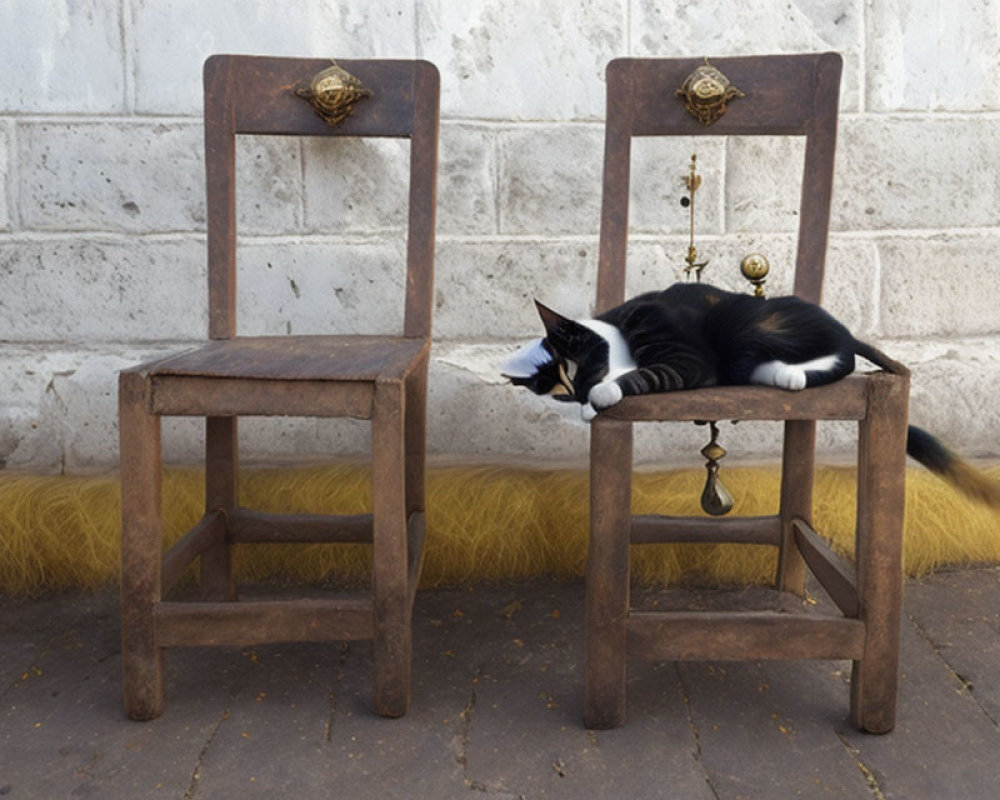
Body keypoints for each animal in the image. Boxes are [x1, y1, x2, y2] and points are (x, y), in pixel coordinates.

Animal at [504, 282, 1000, 506]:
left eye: (576, 371)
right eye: (559, 395)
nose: (580, 398)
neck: (619, 330)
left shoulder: (686, 360)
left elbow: (643, 376)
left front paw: (604, 396)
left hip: (752, 325)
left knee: (842, 357)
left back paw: (795, 373)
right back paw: (781, 374)